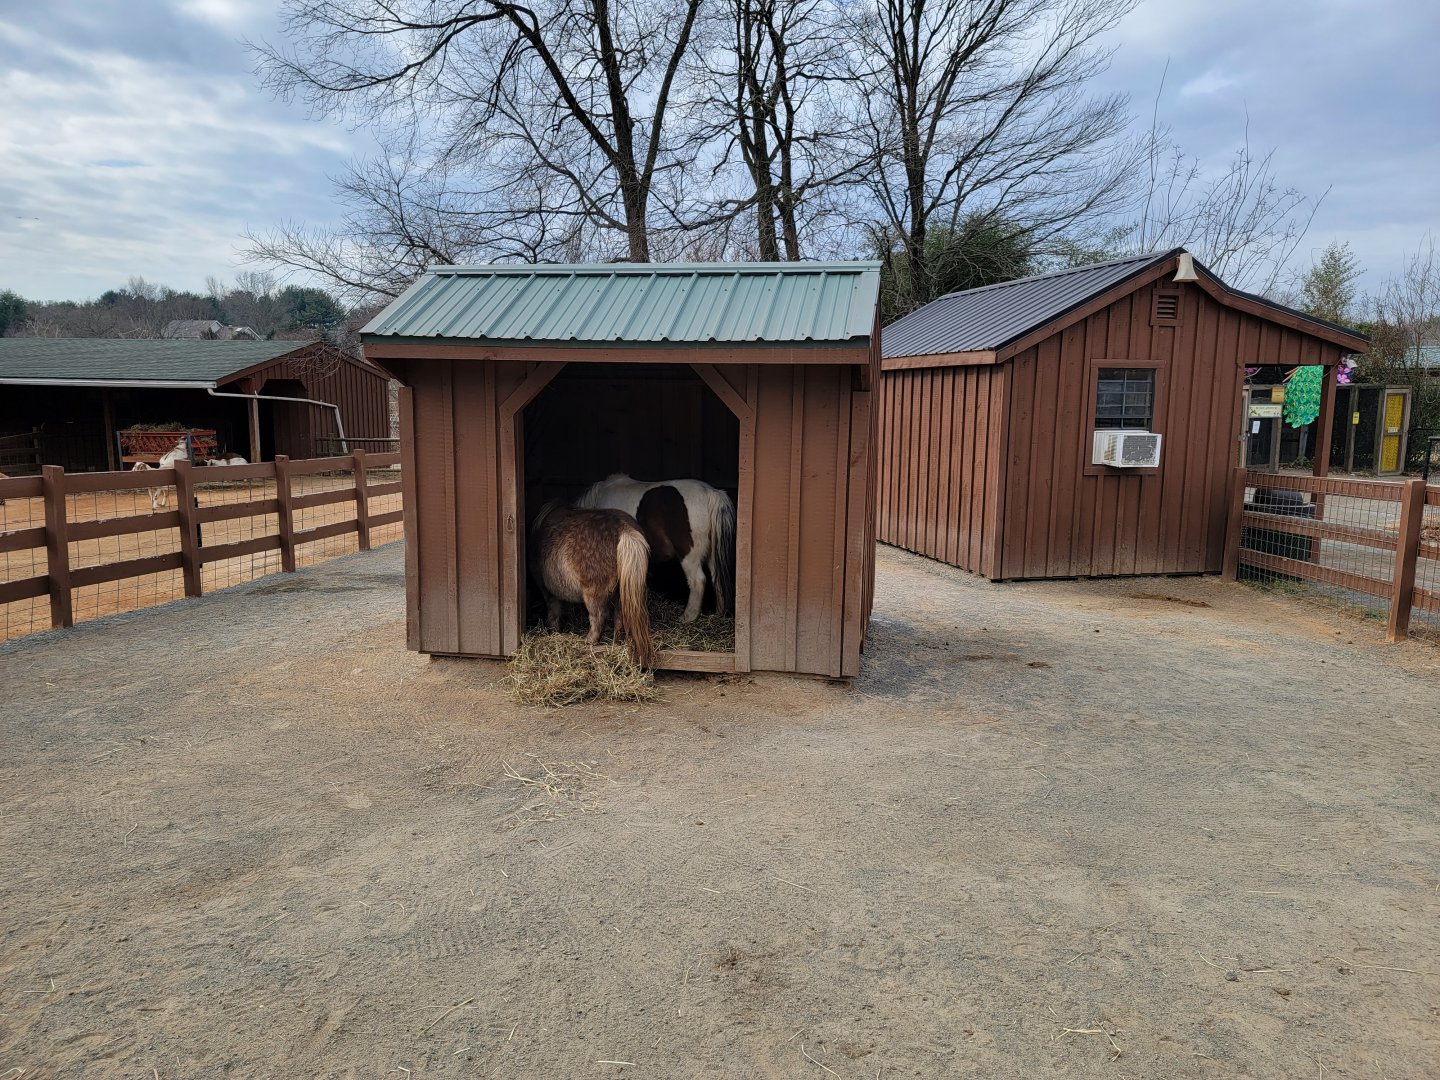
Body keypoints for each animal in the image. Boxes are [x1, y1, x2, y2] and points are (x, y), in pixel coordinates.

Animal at [529, 501, 654, 668]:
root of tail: (624, 530)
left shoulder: (547, 591)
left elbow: (554, 611)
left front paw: (554, 631)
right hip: (620, 593)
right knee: (619, 617)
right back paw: (616, 643)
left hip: (593, 593)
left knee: (598, 616)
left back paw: (589, 642)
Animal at [576, 474, 735, 623]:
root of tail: (710, 492)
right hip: (712, 555)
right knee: (716, 578)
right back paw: (718, 613)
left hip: (689, 556)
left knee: (697, 581)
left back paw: (688, 617)